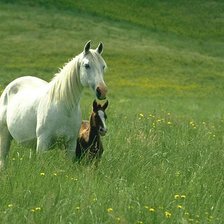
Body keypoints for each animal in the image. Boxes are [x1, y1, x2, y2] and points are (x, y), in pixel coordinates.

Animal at [0, 41, 107, 169]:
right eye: (87, 65)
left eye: (103, 66)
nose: (102, 91)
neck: (64, 107)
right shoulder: (43, 143)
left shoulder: (71, 144)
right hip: (4, 135)